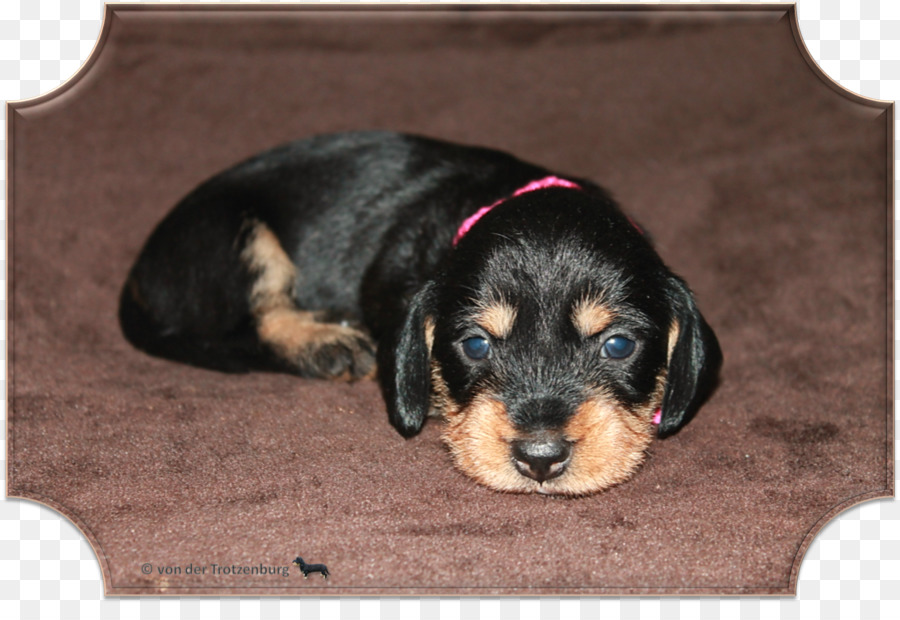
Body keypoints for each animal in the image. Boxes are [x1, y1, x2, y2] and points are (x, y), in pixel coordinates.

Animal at [121, 130, 724, 494]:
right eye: (476, 344)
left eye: (618, 345)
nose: (540, 458)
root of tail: (142, 266)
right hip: (234, 236)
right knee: (261, 315)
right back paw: (325, 343)